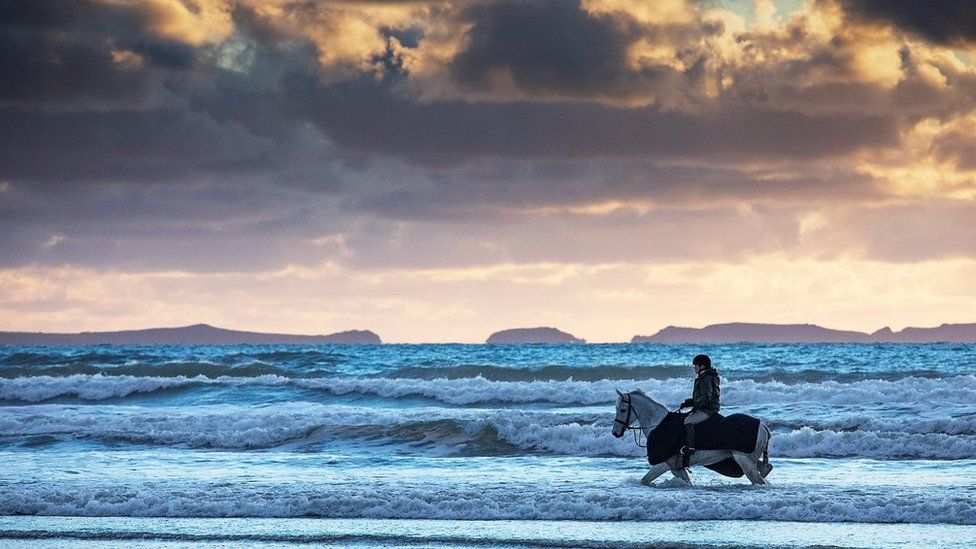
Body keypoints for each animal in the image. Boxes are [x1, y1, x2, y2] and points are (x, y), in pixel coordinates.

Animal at [612, 388, 772, 486]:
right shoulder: (674, 467)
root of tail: (763, 427)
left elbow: (647, 479)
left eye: (623, 409)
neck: (659, 424)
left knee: (759, 480)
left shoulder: (669, 465)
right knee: (766, 469)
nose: (615, 433)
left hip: (745, 462)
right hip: (745, 460)